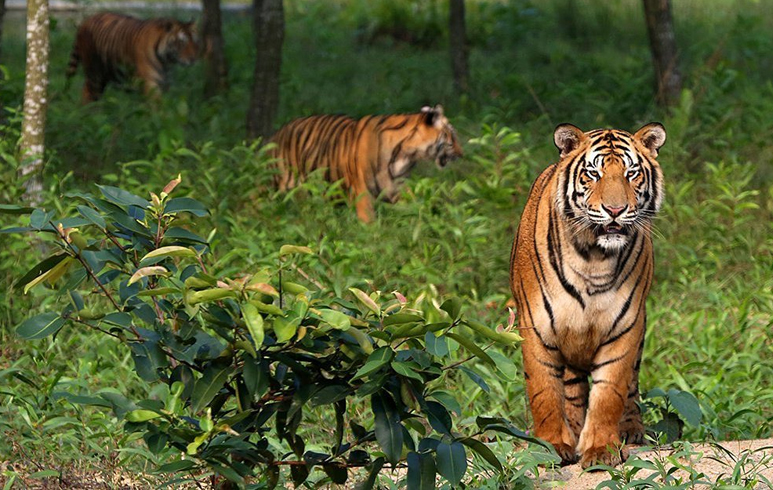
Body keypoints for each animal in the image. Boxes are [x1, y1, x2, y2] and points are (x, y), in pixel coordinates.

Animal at [66, 12, 199, 103]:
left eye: (195, 41)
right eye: (182, 42)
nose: (193, 59)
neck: (167, 62)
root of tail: (85, 21)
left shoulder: (164, 84)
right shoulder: (150, 83)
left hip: (105, 74)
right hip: (94, 74)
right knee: (87, 93)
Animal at [269, 105, 463, 223]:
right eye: (451, 139)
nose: (462, 154)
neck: (406, 155)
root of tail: (277, 133)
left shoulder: (397, 187)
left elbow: (414, 207)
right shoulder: (362, 193)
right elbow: (369, 225)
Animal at [509, 123, 666, 468]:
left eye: (632, 173)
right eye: (593, 173)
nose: (615, 210)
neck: (593, 258)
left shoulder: (625, 327)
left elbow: (609, 393)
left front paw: (601, 449)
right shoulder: (537, 326)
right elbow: (544, 391)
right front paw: (551, 445)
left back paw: (630, 429)